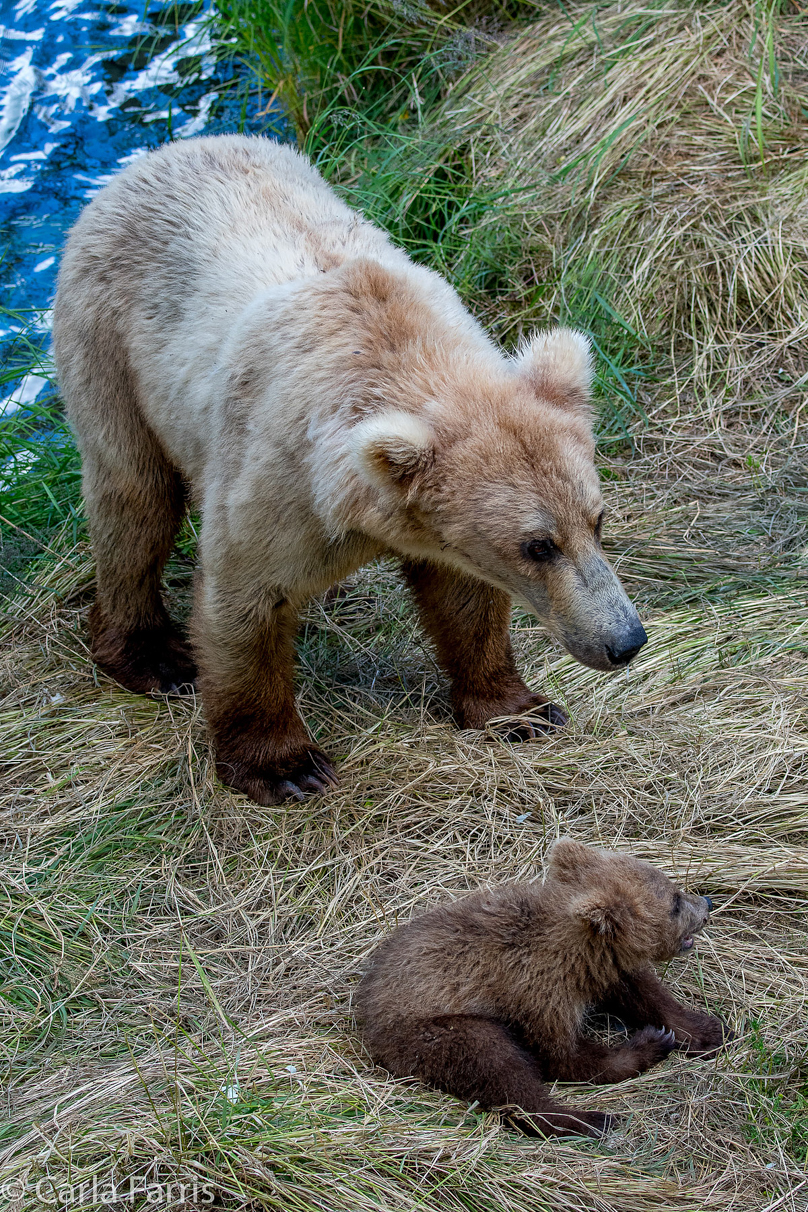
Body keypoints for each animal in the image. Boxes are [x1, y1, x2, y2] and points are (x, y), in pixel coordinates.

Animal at [53, 135, 649, 804]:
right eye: (538, 545)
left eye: (597, 520)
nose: (625, 641)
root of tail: (155, 156)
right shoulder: (278, 479)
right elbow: (246, 601)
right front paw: (287, 767)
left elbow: (464, 599)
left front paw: (518, 709)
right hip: (110, 345)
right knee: (134, 500)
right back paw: (151, 654)